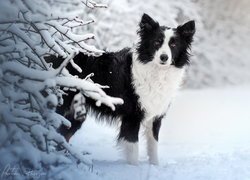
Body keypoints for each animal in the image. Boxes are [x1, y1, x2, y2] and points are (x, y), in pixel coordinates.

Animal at [55, 13, 194, 165]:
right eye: (157, 42)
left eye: (173, 44)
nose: (164, 57)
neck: (156, 71)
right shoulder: (132, 117)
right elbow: (133, 151)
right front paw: (133, 168)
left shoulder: (155, 116)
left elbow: (153, 147)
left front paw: (154, 166)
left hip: (75, 115)